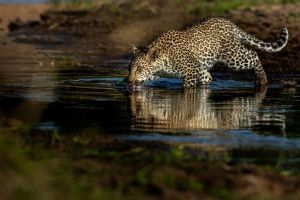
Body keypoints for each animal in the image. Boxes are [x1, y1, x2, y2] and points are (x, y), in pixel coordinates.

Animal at [126, 17, 288, 88]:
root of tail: (230, 23)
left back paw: (262, 80)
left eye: (139, 68)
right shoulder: (199, 69)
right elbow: (206, 78)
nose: (129, 81)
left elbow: (188, 87)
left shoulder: (191, 69)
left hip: (234, 57)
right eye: (129, 69)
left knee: (254, 56)